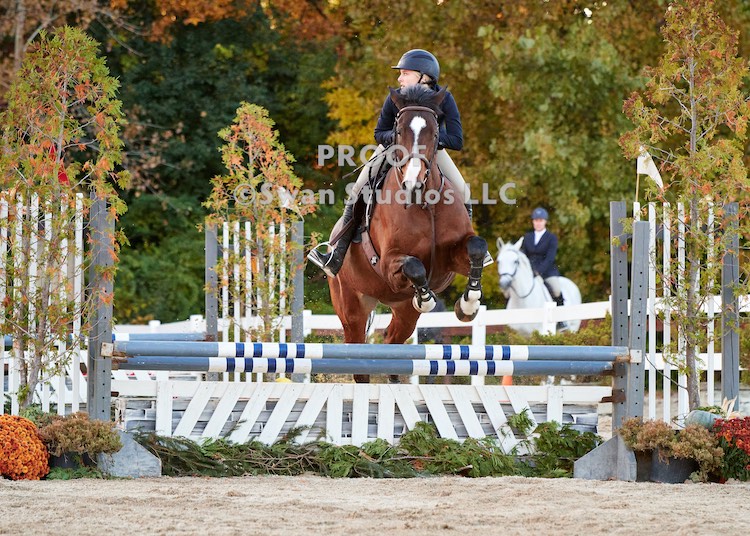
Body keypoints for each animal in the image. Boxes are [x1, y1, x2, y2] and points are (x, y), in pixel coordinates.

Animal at [327, 85, 490, 383]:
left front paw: (468, 305)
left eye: (435, 133)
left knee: (392, 342)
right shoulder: (390, 264)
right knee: (359, 357)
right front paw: (425, 299)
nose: (412, 183)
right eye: (399, 130)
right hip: (351, 306)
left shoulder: (450, 259)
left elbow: (476, 247)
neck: (426, 203)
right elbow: (414, 266)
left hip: (401, 311)